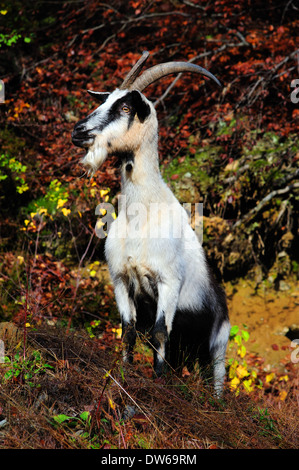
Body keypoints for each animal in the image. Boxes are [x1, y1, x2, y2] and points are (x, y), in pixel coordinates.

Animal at [71, 51, 231, 396]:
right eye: (105, 100)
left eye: (125, 108)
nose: (79, 131)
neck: (141, 216)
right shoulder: (121, 280)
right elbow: (128, 330)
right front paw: (125, 372)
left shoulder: (169, 282)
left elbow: (159, 332)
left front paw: (157, 382)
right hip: (190, 347)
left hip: (220, 343)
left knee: (216, 374)